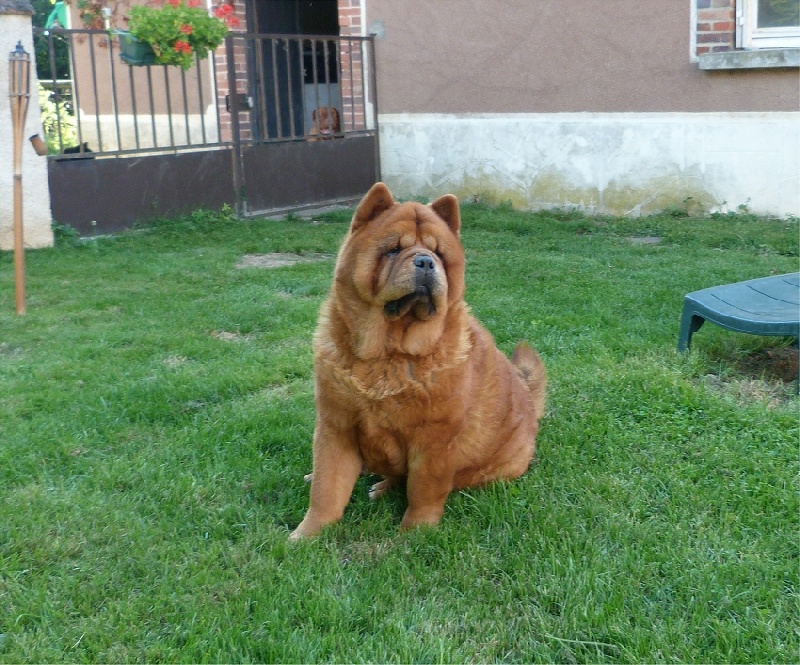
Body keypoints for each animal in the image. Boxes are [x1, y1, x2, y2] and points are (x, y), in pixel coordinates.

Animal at [290, 183, 548, 540]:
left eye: (438, 253)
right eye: (394, 250)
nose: (426, 262)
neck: (389, 351)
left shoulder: (435, 438)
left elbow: (423, 489)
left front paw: (414, 534)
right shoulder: (335, 425)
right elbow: (327, 488)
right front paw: (304, 536)